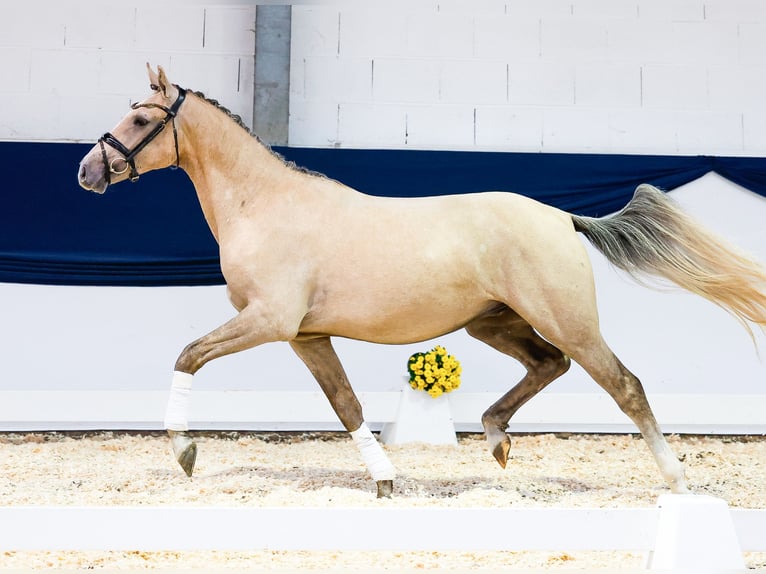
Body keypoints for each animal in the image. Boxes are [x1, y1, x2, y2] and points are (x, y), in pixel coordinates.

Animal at [76, 66, 766, 500]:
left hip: (566, 319)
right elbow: (347, 406)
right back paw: (496, 439)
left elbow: (187, 355)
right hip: (493, 322)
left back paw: (676, 481)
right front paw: (384, 480)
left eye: (139, 119)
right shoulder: (306, 336)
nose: (87, 171)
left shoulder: (268, 322)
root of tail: (561, 217)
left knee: (624, 384)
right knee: (549, 365)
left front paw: (185, 454)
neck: (266, 205)